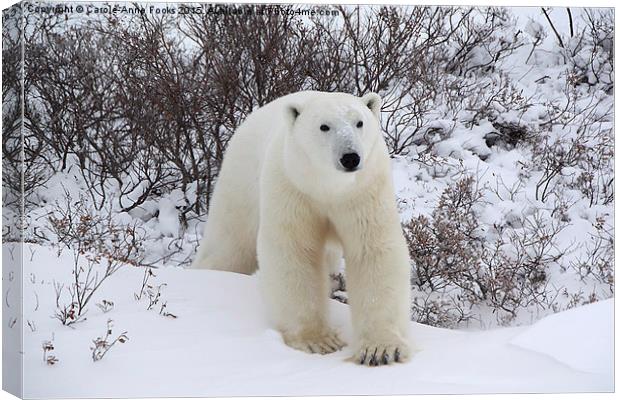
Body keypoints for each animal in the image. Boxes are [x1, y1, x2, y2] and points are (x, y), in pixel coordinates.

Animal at [193, 91, 412, 366]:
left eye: (359, 122)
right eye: (324, 126)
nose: (350, 157)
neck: (328, 188)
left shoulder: (365, 192)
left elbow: (373, 252)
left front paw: (380, 349)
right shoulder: (292, 188)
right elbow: (294, 252)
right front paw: (318, 340)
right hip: (241, 180)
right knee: (230, 244)